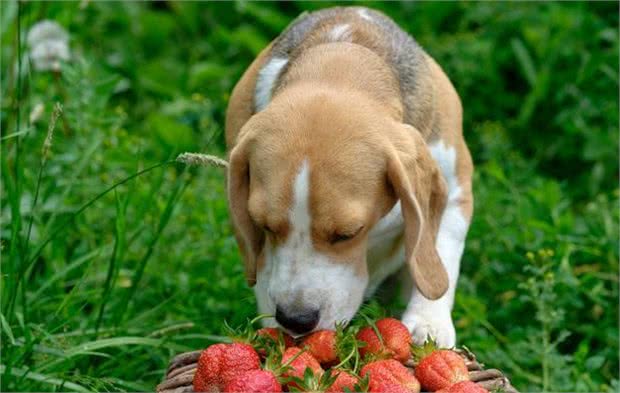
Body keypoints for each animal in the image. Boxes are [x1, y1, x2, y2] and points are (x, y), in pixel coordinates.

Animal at [225, 6, 472, 346]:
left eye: (348, 234)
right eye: (264, 226)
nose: (295, 319)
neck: (340, 62)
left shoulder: (456, 188)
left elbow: (441, 248)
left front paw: (428, 322)